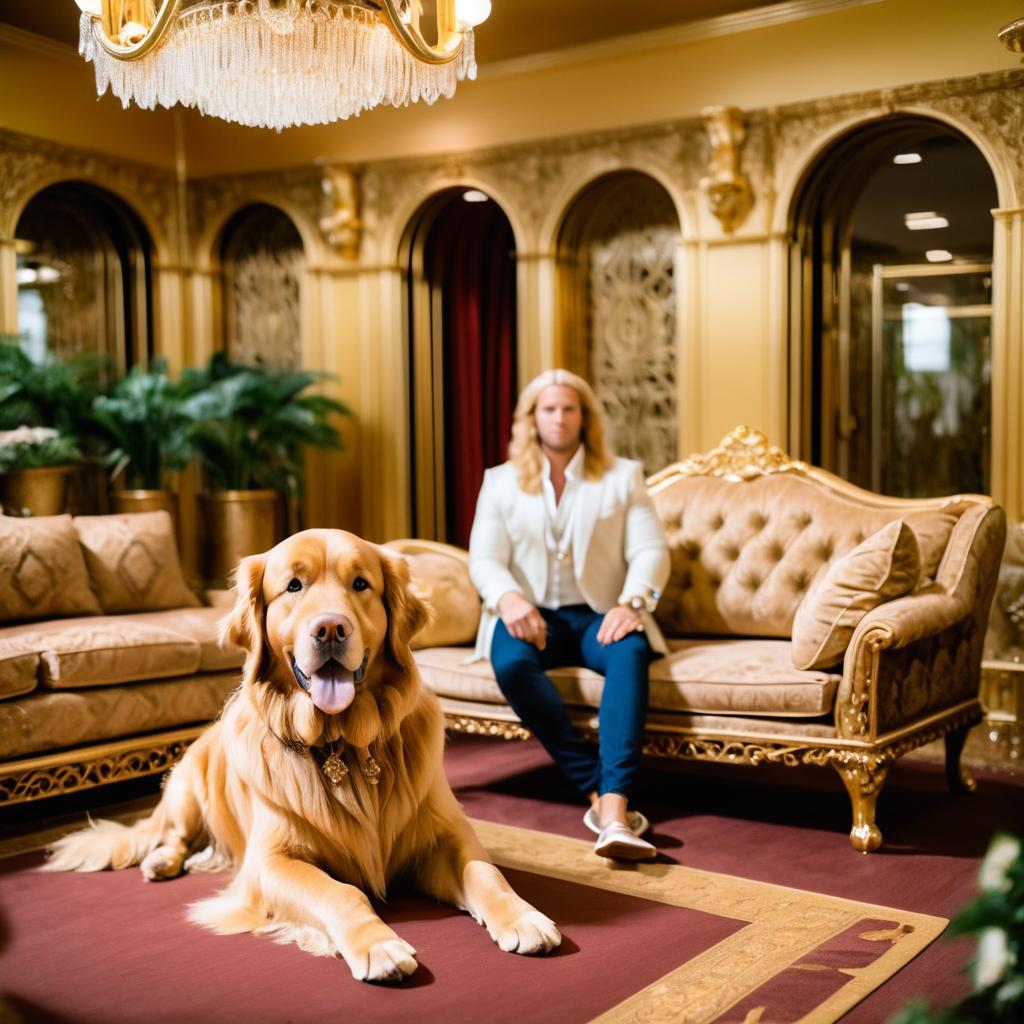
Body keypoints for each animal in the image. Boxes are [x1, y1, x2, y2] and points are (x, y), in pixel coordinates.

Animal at [44, 532, 561, 978]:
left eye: (361, 584)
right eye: (293, 585)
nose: (331, 628)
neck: (344, 742)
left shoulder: (445, 834)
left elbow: (486, 873)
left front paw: (523, 917)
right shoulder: (272, 864)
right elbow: (341, 893)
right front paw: (378, 945)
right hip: (186, 785)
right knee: (169, 832)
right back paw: (164, 861)